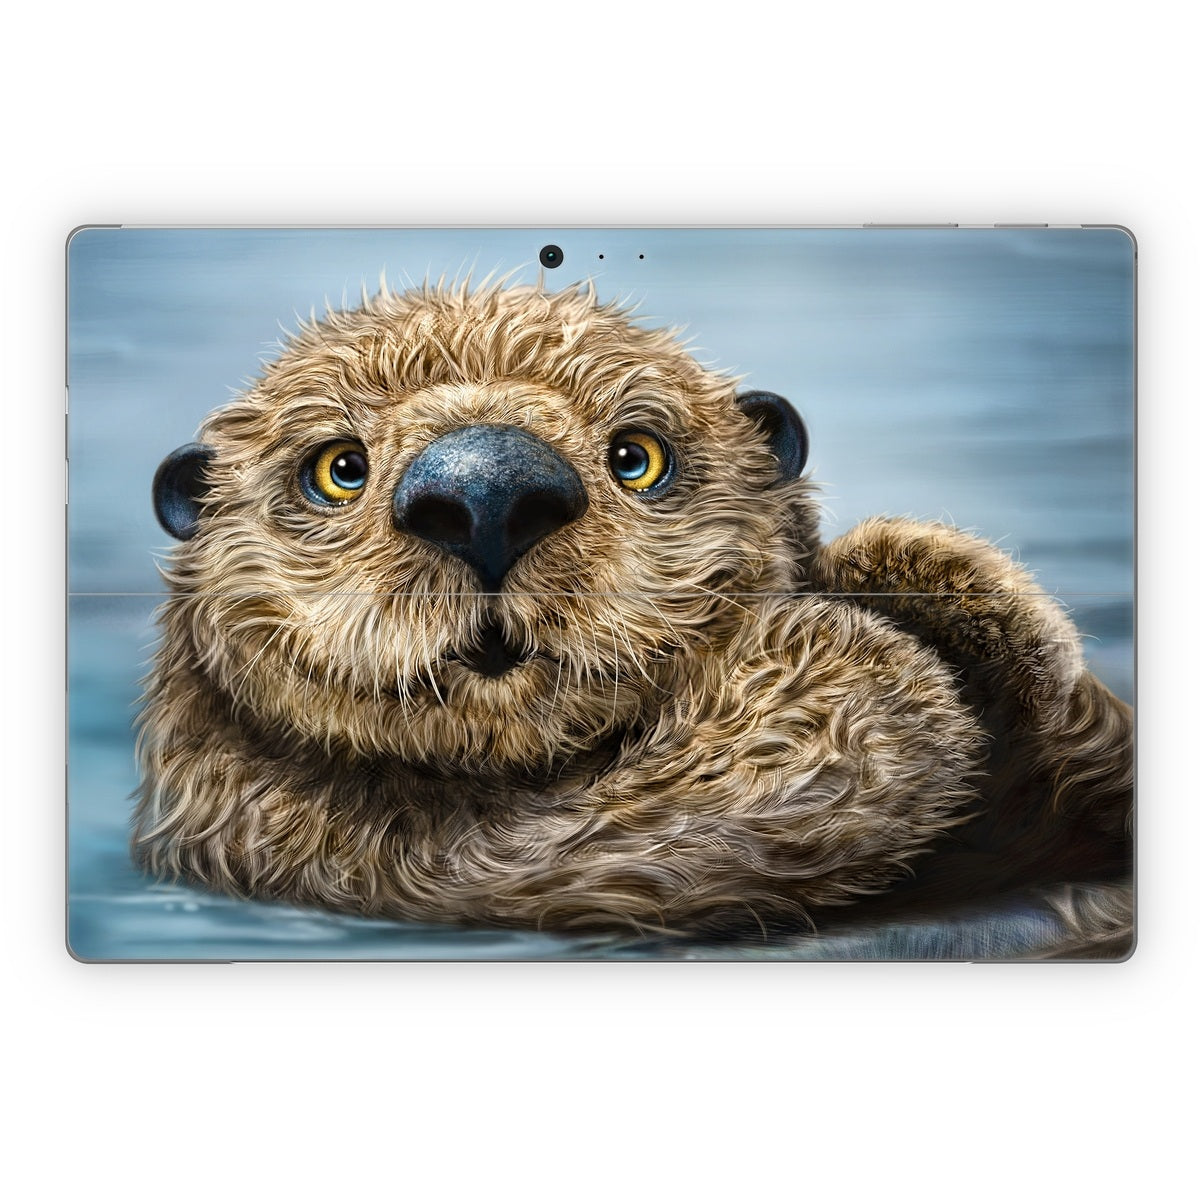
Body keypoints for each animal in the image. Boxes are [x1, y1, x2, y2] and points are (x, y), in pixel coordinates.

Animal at [137, 282, 1133, 956]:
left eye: (636, 456)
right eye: (338, 468)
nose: (489, 492)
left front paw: (915, 568)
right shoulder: (376, 856)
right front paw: (856, 651)